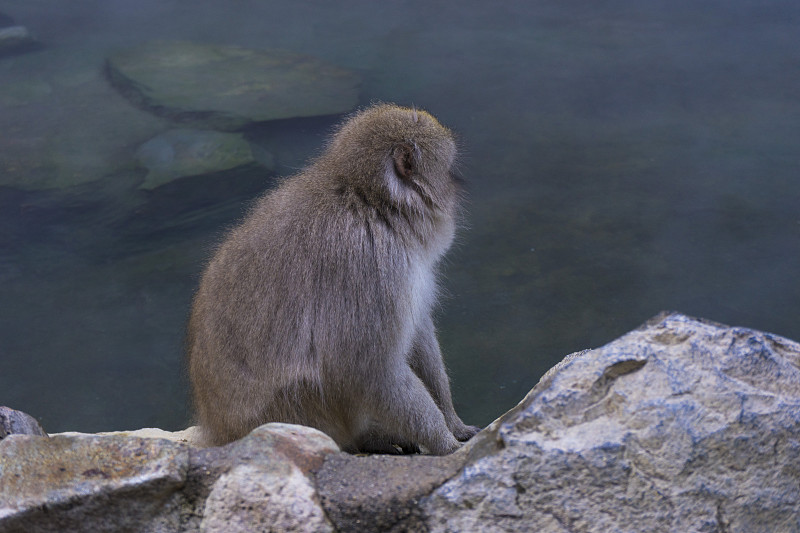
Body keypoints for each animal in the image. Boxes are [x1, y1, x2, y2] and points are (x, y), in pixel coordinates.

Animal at [184, 103, 478, 454]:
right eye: (448, 171)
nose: (459, 184)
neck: (371, 202)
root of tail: (220, 432)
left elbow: (418, 335)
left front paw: (454, 423)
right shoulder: (369, 264)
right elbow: (368, 370)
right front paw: (445, 444)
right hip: (294, 408)